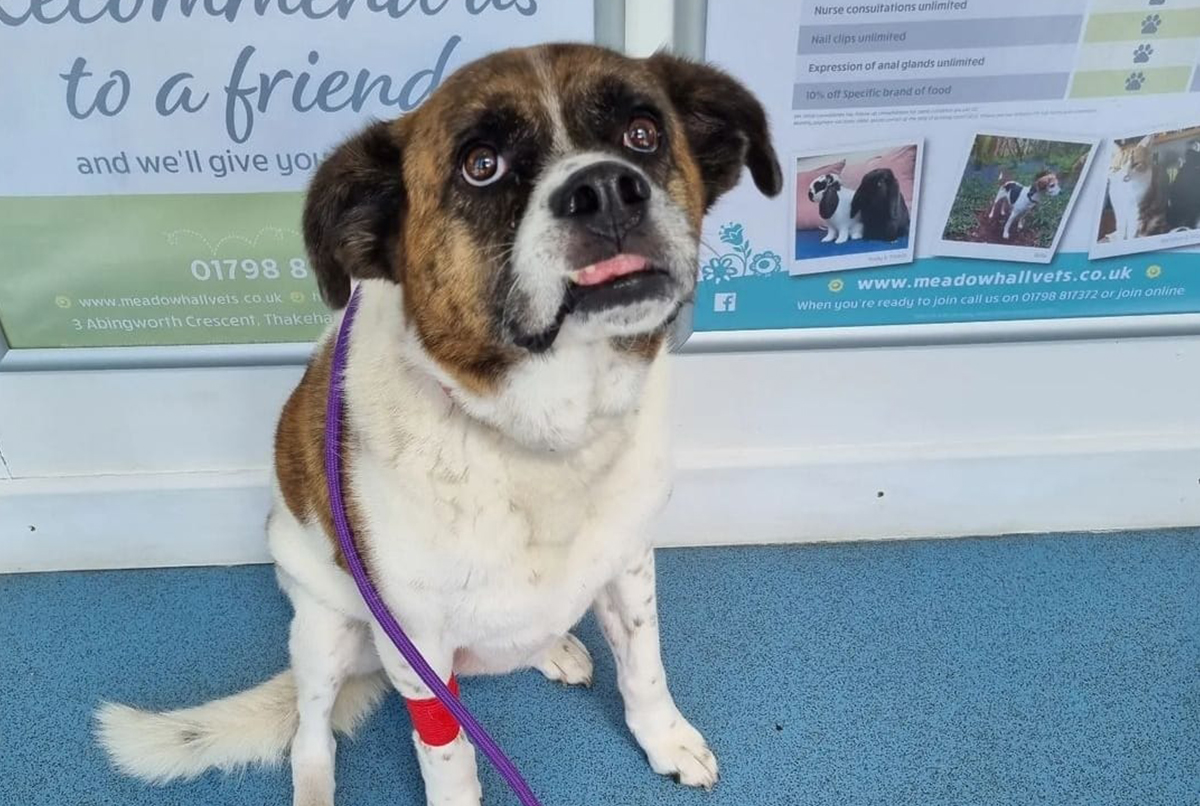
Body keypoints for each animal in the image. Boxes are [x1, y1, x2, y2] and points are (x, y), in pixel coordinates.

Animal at [91, 44, 777, 806]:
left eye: (643, 133)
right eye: (482, 164)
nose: (605, 189)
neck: (545, 438)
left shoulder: (629, 563)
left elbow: (644, 663)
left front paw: (665, 739)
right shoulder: (419, 650)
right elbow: (449, 757)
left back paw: (555, 648)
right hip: (325, 632)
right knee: (311, 735)